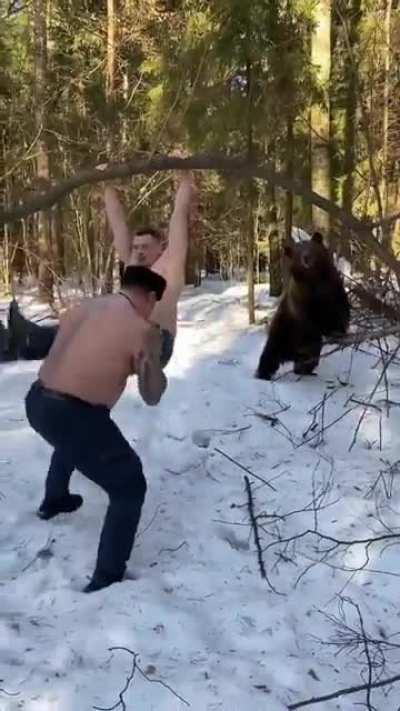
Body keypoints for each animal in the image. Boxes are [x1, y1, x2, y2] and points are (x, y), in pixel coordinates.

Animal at [256, 232, 350, 380]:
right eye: (298, 253)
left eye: (311, 248)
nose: (306, 258)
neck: (313, 278)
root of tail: (289, 354)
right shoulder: (301, 299)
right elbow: (308, 319)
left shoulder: (332, 290)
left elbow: (339, 312)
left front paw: (339, 331)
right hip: (283, 329)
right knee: (271, 351)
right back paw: (263, 373)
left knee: (308, 357)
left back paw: (304, 369)